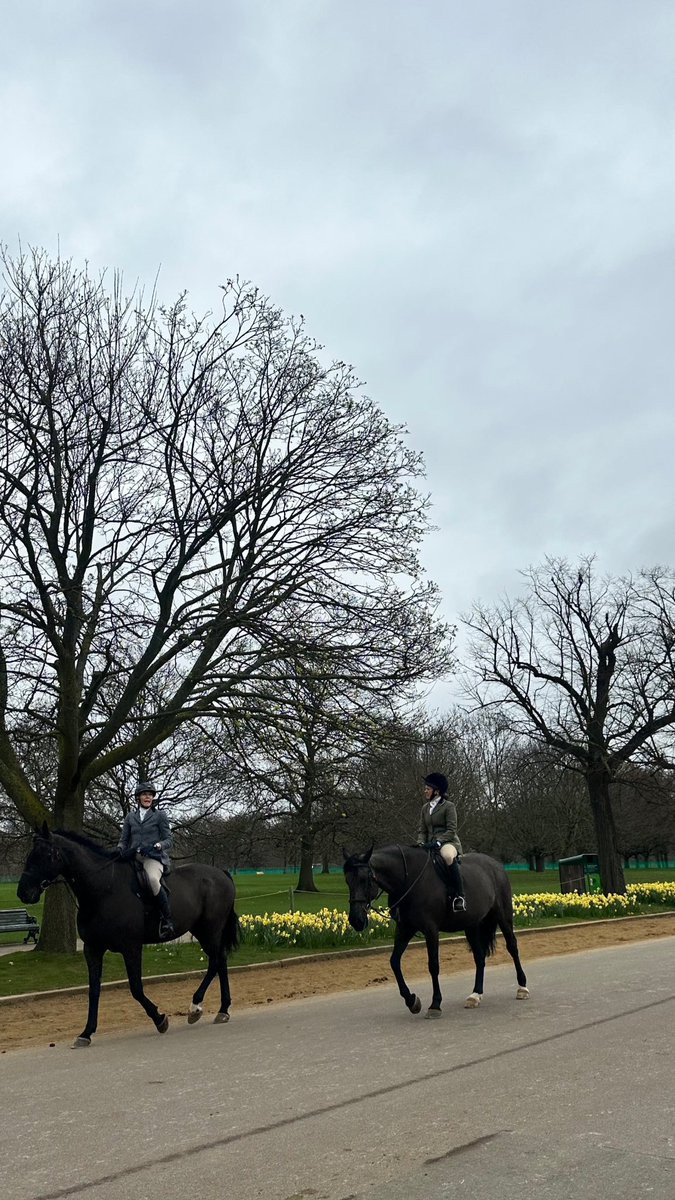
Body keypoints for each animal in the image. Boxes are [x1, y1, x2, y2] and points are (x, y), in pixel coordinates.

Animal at [17, 824, 240, 1047]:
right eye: (30, 854)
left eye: (46, 854)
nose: (23, 892)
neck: (103, 888)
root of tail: (220, 872)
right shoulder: (92, 949)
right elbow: (94, 990)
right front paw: (86, 1032)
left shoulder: (131, 946)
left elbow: (135, 987)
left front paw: (160, 1019)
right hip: (202, 930)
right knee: (220, 961)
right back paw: (222, 1009)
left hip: (210, 930)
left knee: (216, 961)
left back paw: (196, 1007)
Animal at [343, 845, 529, 1017]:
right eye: (347, 881)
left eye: (364, 879)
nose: (355, 920)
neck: (409, 880)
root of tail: (495, 864)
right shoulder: (405, 929)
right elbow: (394, 962)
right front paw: (411, 1000)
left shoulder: (431, 930)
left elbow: (433, 965)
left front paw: (435, 1004)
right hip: (472, 926)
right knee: (479, 957)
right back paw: (475, 995)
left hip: (503, 917)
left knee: (512, 947)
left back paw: (522, 987)